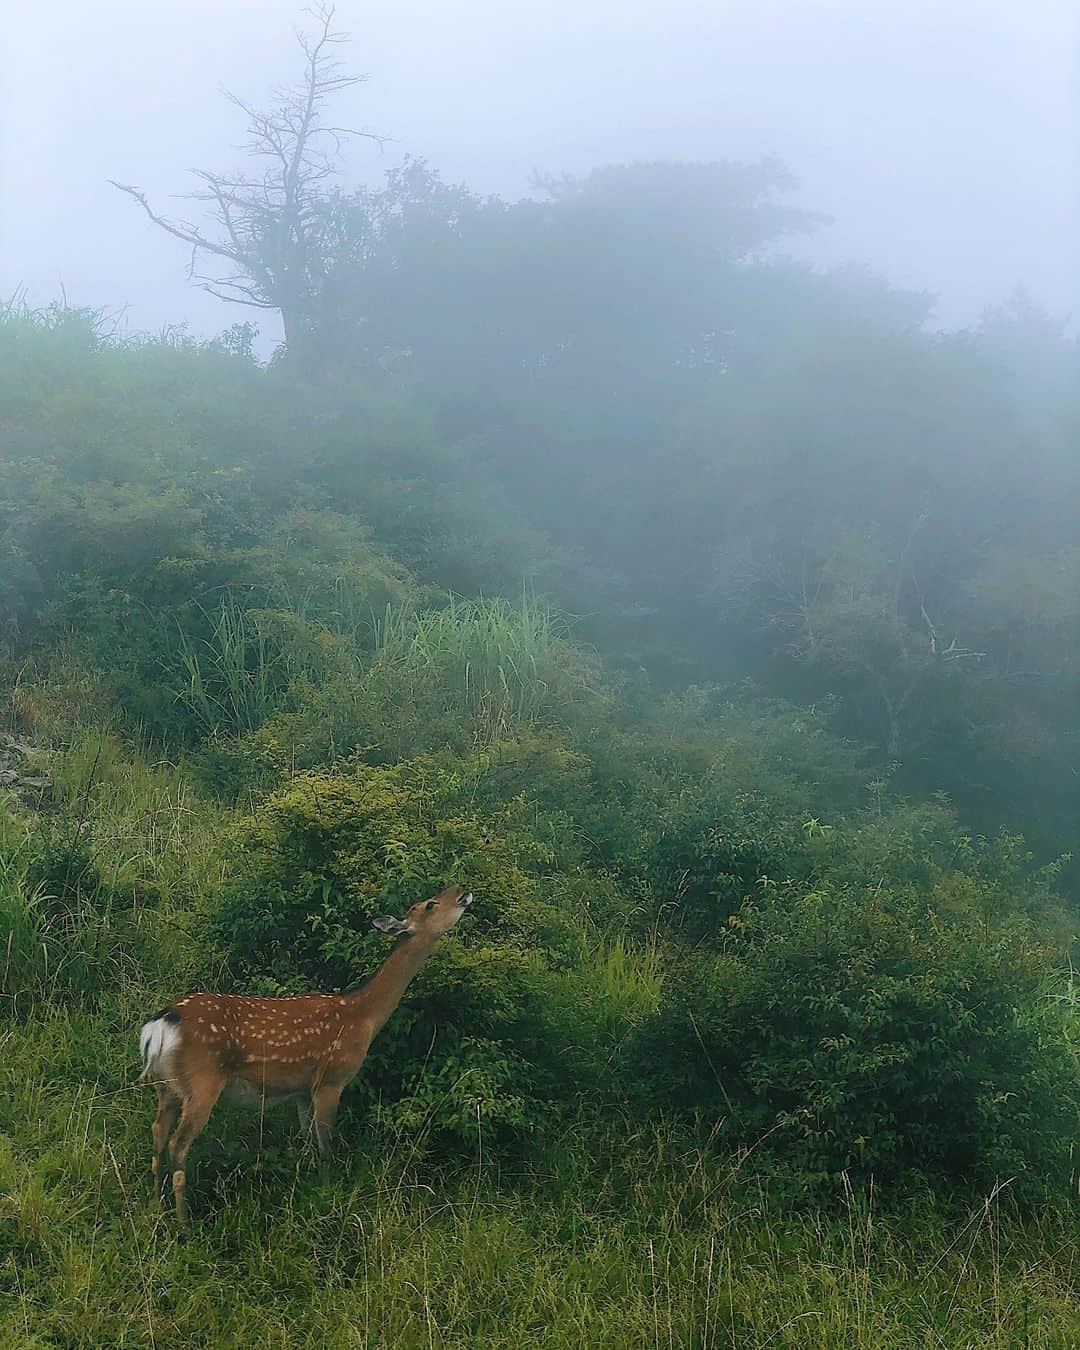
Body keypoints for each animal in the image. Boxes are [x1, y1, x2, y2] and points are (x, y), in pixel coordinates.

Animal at [136, 880, 472, 1231]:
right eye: (430, 904)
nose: (462, 889)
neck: (363, 1016)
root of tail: (160, 1025)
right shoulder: (331, 1079)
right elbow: (325, 1144)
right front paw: (328, 1189)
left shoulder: (300, 1089)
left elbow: (307, 1139)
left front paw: (308, 1182)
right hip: (202, 1082)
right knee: (178, 1144)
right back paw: (184, 1223)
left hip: (166, 1087)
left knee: (157, 1134)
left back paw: (155, 1205)